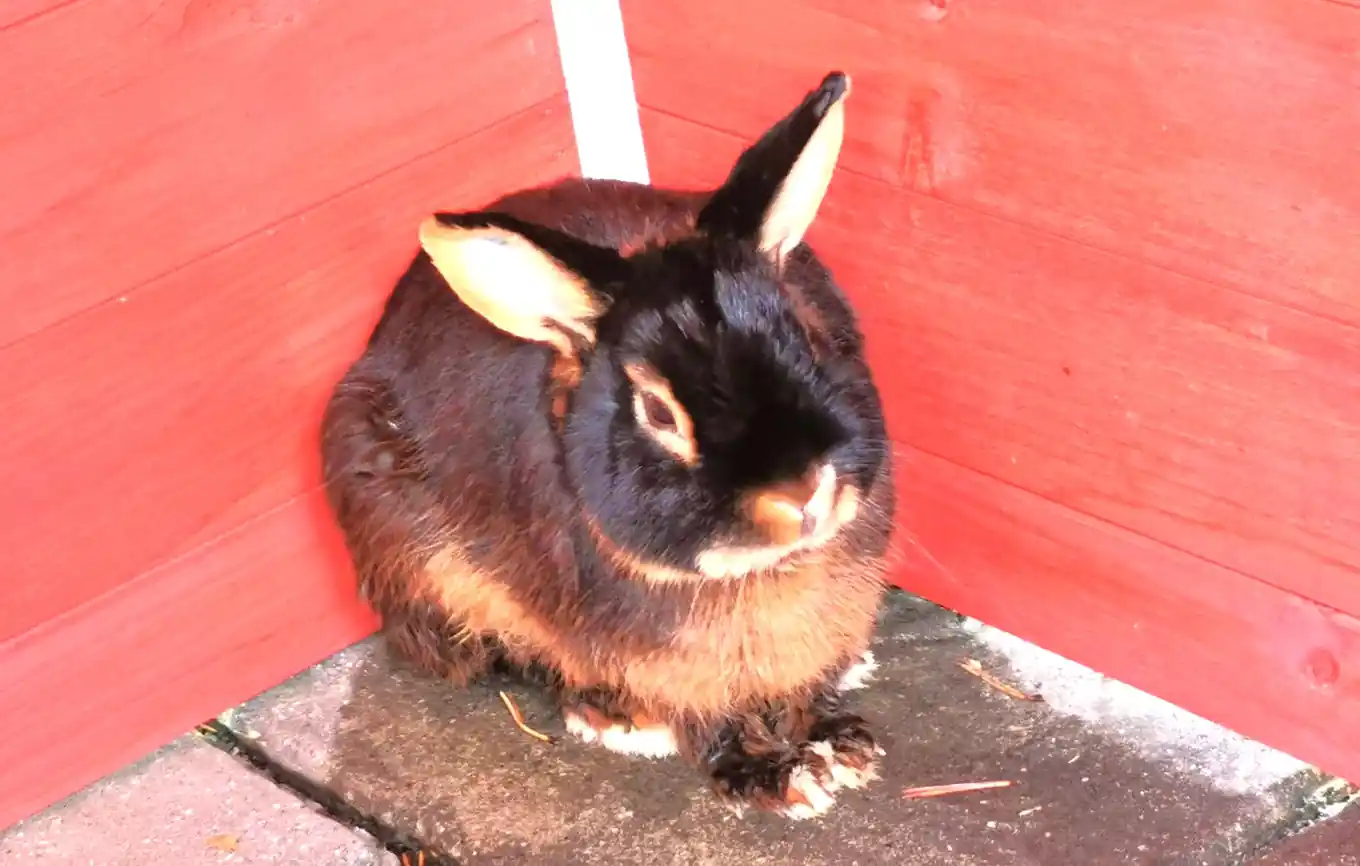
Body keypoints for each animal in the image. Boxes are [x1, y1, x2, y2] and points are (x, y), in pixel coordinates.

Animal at [319, 70, 896, 820]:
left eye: (805, 337)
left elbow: (805, 683)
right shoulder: (664, 661)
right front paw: (775, 778)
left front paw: (837, 744)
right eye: (656, 410)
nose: (800, 493)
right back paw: (614, 717)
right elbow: (706, 717)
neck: (760, 572)